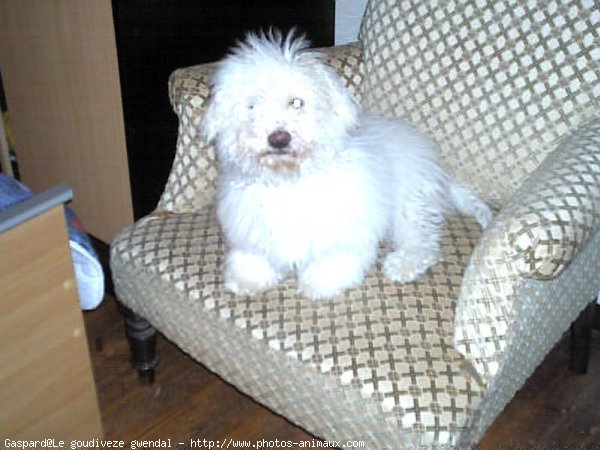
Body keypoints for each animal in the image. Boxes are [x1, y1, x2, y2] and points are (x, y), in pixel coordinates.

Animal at [202, 30, 492, 298]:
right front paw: (246, 279)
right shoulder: (254, 229)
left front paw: (318, 283)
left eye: (296, 102)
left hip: (410, 203)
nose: (279, 138)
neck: (290, 180)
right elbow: (254, 257)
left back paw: (402, 264)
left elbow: (333, 259)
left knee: (423, 243)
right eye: (252, 106)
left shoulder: (343, 229)